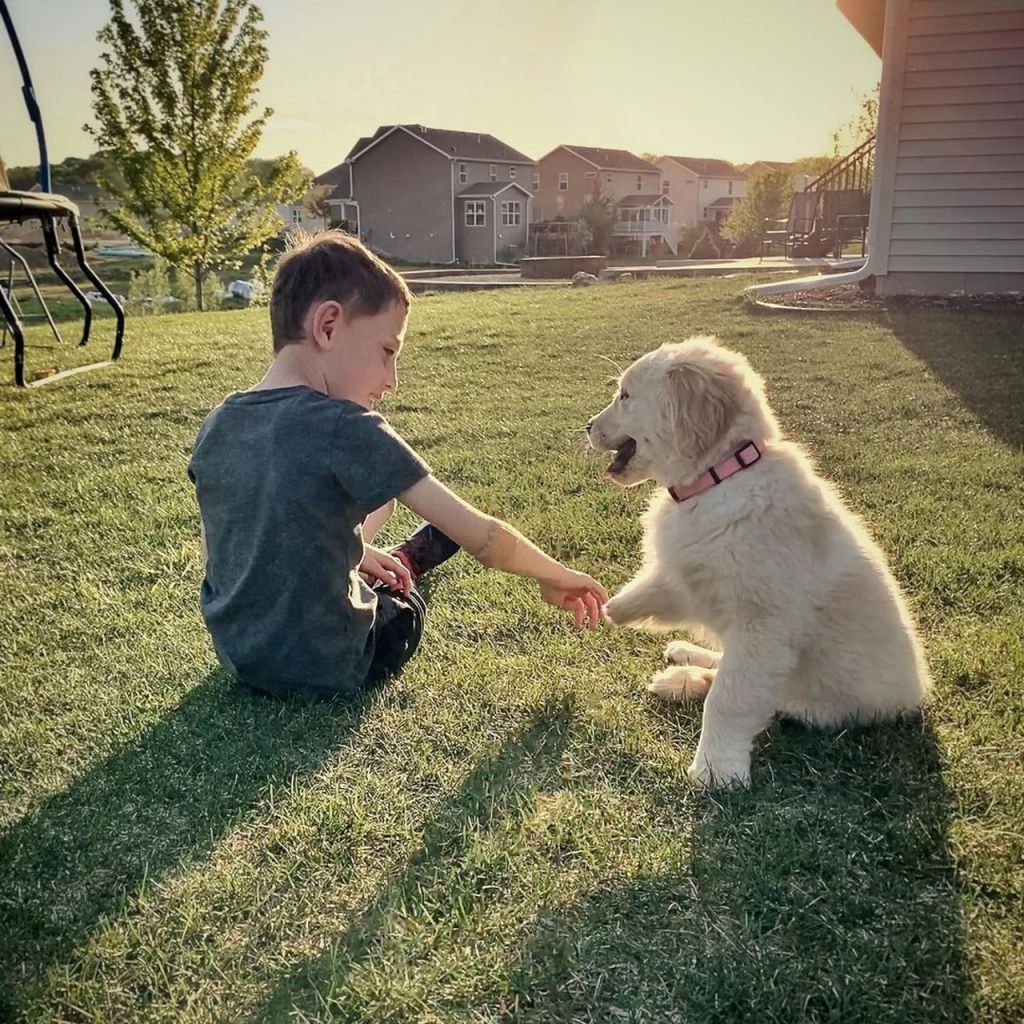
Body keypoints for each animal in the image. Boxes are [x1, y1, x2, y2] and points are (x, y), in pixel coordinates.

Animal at [589, 335, 933, 782]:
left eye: (625, 396)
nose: (587, 427)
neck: (720, 477)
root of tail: (917, 695)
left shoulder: (762, 627)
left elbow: (728, 698)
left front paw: (717, 770)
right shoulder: (691, 578)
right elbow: (661, 589)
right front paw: (612, 605)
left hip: (813, 699)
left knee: (746, 687)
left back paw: (684, 678)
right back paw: (683, 661)